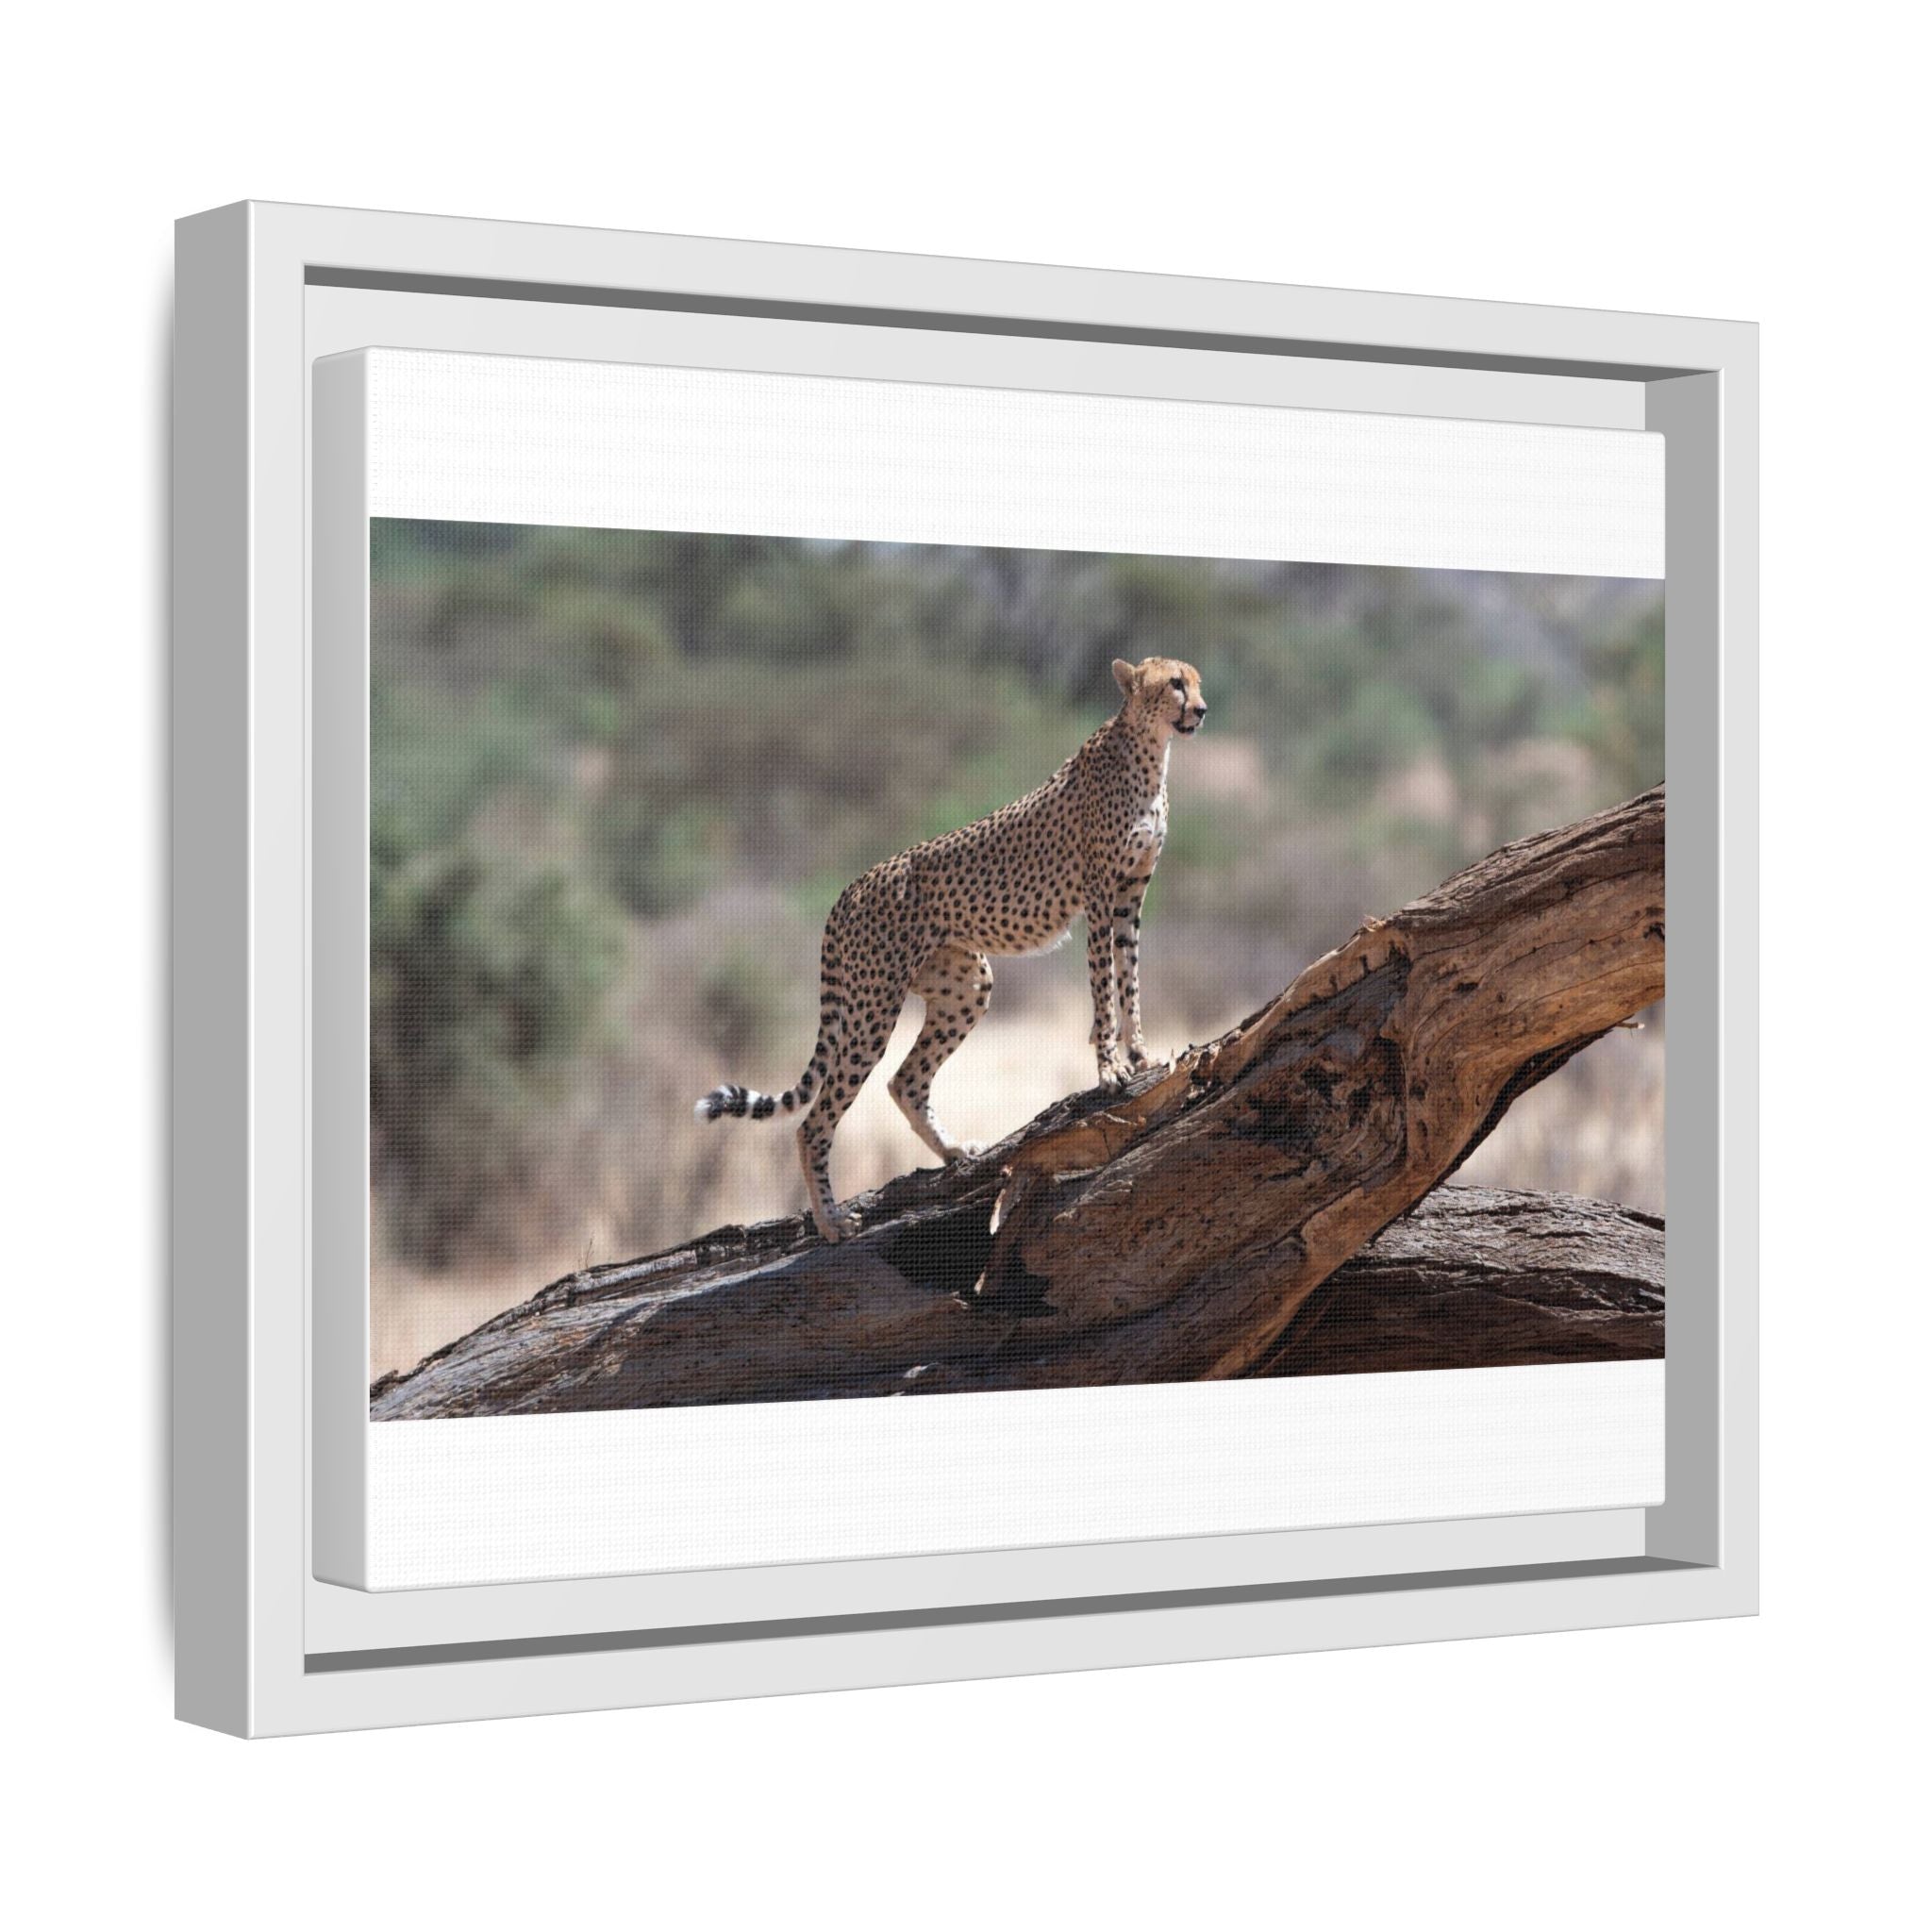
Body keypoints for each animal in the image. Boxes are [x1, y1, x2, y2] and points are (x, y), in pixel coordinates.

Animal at [695, 655, 1208, 1241]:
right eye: (1175, 684)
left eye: (1195, 682)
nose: (1201, 709)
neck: (1150, 751)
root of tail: (850, 887)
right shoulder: (1100, 896)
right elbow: (1104, 987)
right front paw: (1109, 1069)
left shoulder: (1130, 896)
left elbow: (1130, 978)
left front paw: (1142, 1053)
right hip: (873, 1006)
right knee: (815, 1120)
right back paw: (831, 1221)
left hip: (966, 986)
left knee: (905, 1081)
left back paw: (954, 1152)